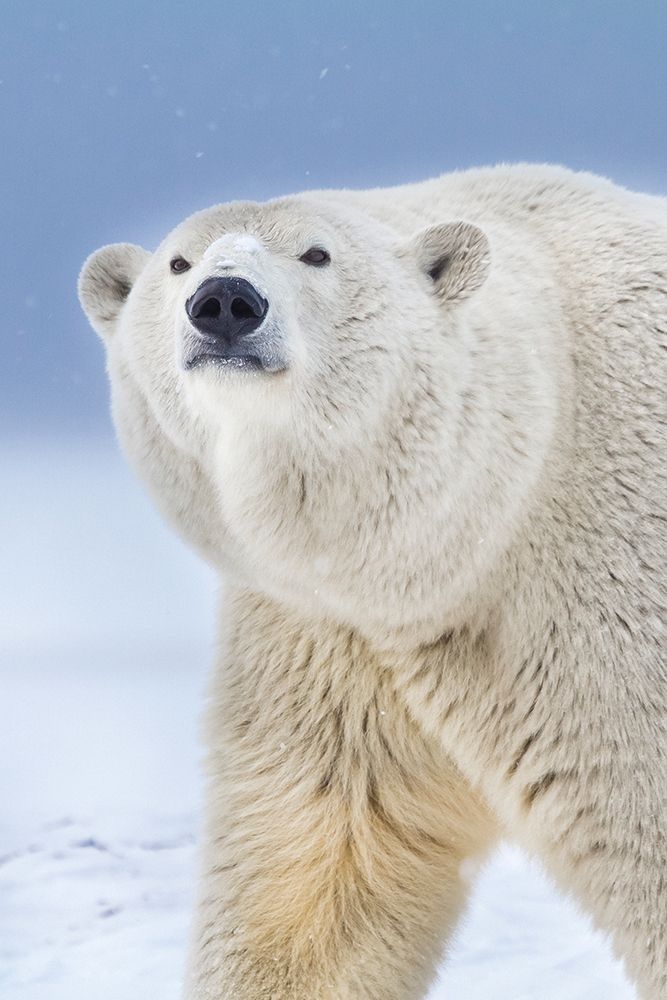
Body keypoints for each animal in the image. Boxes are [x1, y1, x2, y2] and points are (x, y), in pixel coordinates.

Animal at [78, 163, 666, 999]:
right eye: (178, 263)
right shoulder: (327, 638)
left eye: (316, 253)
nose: (224, 303)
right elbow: (322, 872)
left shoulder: (602, 619)